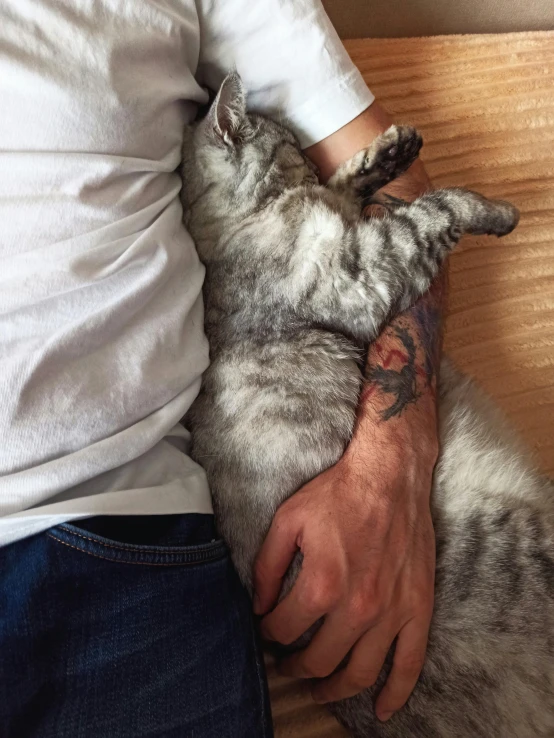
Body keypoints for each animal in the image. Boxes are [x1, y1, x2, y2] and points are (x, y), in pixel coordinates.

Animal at [181, 76, 552, 736]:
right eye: (290, 146)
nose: (307, 159)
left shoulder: (353, 231)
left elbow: (352, 182)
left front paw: (393, 149)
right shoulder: (361, 266)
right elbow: (438, 207)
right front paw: (496, 211)